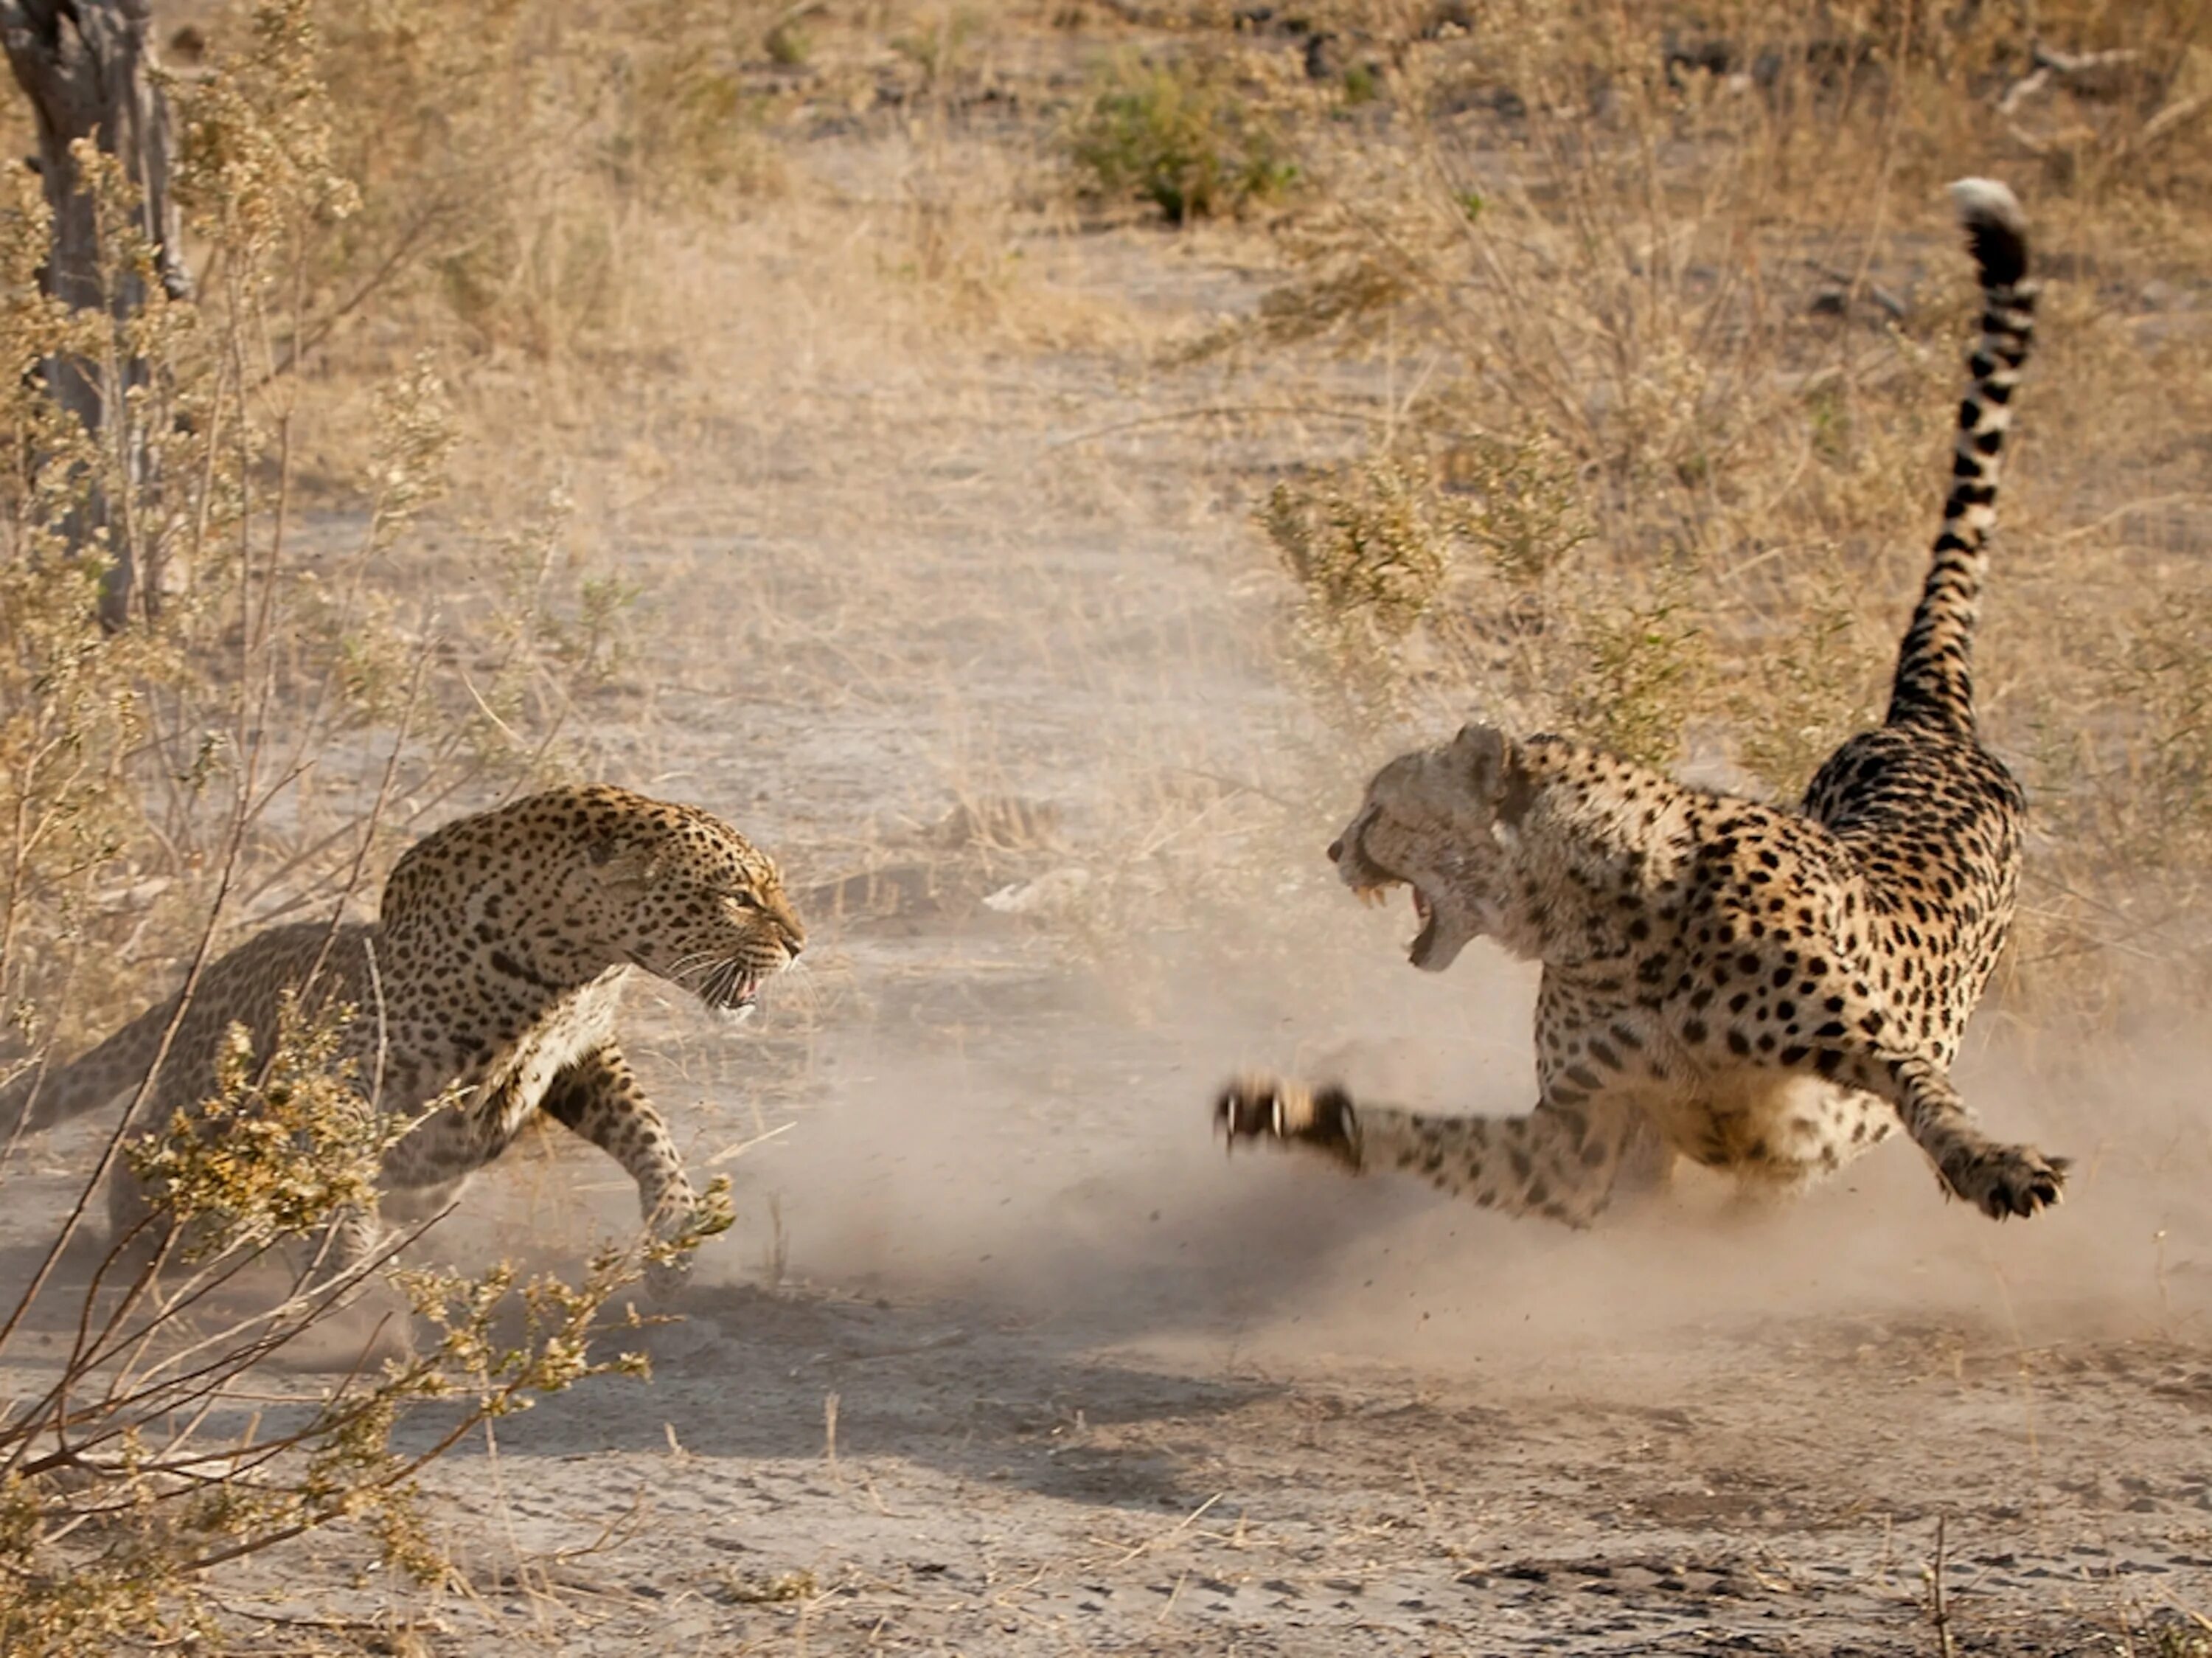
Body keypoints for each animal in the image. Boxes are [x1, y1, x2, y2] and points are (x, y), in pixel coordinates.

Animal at [1, 783, 805, 1283]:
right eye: (738, 897)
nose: (801, 943)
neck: (572, 961)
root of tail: (212, 970)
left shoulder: (578, 1055)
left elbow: (648, 1134)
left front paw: (676, 1233)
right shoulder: (349, 1068)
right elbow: (340, 1168)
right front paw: (347, 1267)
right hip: (196, 1114)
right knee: (147, 1165)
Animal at [1212, 175, 2053, 1221]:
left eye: (1381, 806)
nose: (1333, 850)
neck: (1609, 921)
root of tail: (1922, 722)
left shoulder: (1855, 1045)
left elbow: (1923, 1088)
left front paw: (1995, 1162)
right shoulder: (1580, 1143)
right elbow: (1434, 1137)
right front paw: (1295, 1112)